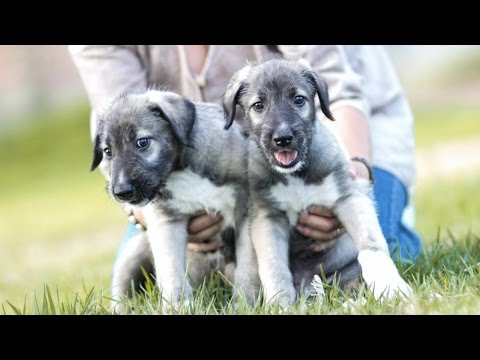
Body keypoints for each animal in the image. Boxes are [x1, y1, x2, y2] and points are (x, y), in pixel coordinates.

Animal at [90, 89, 249, 310]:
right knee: (121, 293)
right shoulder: (166, 223)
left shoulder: (246, 208)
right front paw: (178, 306)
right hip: (133, 253)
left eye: (142, 142)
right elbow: (171, 270)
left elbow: (249, 265)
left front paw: (246, 302)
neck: (179, 170)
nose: (121, 192)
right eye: (107, 151)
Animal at [225, 59, 412, 306]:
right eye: (258, 105)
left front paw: (391, 288)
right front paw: (279, 305)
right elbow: (274, 268)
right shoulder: (267, 217)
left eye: (299, 99)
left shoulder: (349, 198)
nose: (283, 138)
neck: (296, 175)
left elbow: (371, 246)